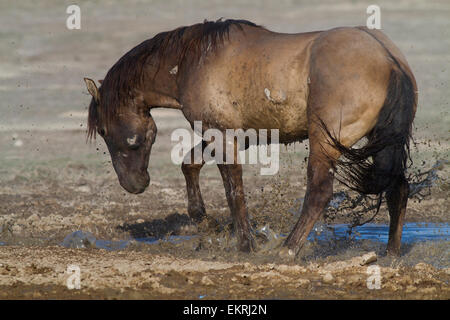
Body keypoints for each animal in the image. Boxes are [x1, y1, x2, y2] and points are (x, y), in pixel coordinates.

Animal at [83, 19, 418, 258]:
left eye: (104, 130)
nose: (133, 184)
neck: (193, 61)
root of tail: (389, 59)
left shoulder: (221, 134)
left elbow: (234, 191)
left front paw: (245, 245)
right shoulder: (233, 135)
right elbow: (190, 165)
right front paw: (206, 221)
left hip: (324, 143)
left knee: (319, 193)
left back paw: (288, 249)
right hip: (385, 145)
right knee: (398, 188)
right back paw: (391, 253)